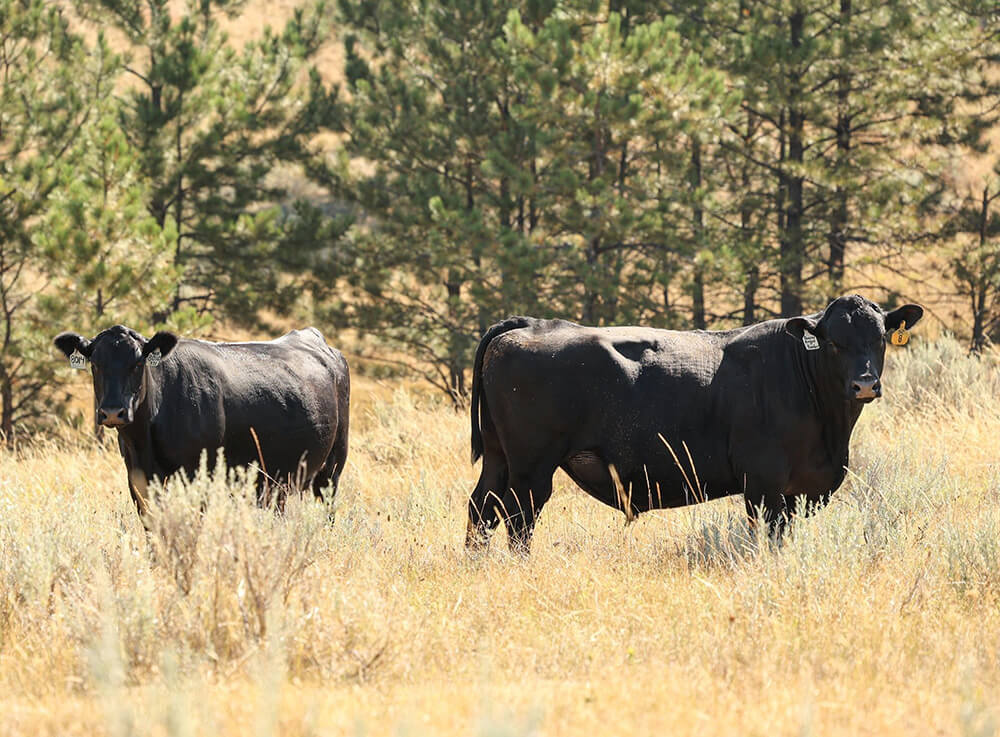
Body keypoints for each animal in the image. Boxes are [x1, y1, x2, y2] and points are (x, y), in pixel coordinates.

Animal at [54, 325, 349, 521]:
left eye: (137, 364)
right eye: (95, 364)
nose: (113, 412)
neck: (145, 441)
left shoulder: (199, 474)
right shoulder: (138, 478)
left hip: (332, 467)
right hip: (276, 481)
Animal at [466, 295, 923, 553]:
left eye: (880, 337)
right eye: (833, 341)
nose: (865, 383)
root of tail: (532, 324)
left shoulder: (796, 491)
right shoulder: (763, 484)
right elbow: (769, 538)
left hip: (498, 459)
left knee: (481, 509)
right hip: (532, 467)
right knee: (518, 518)